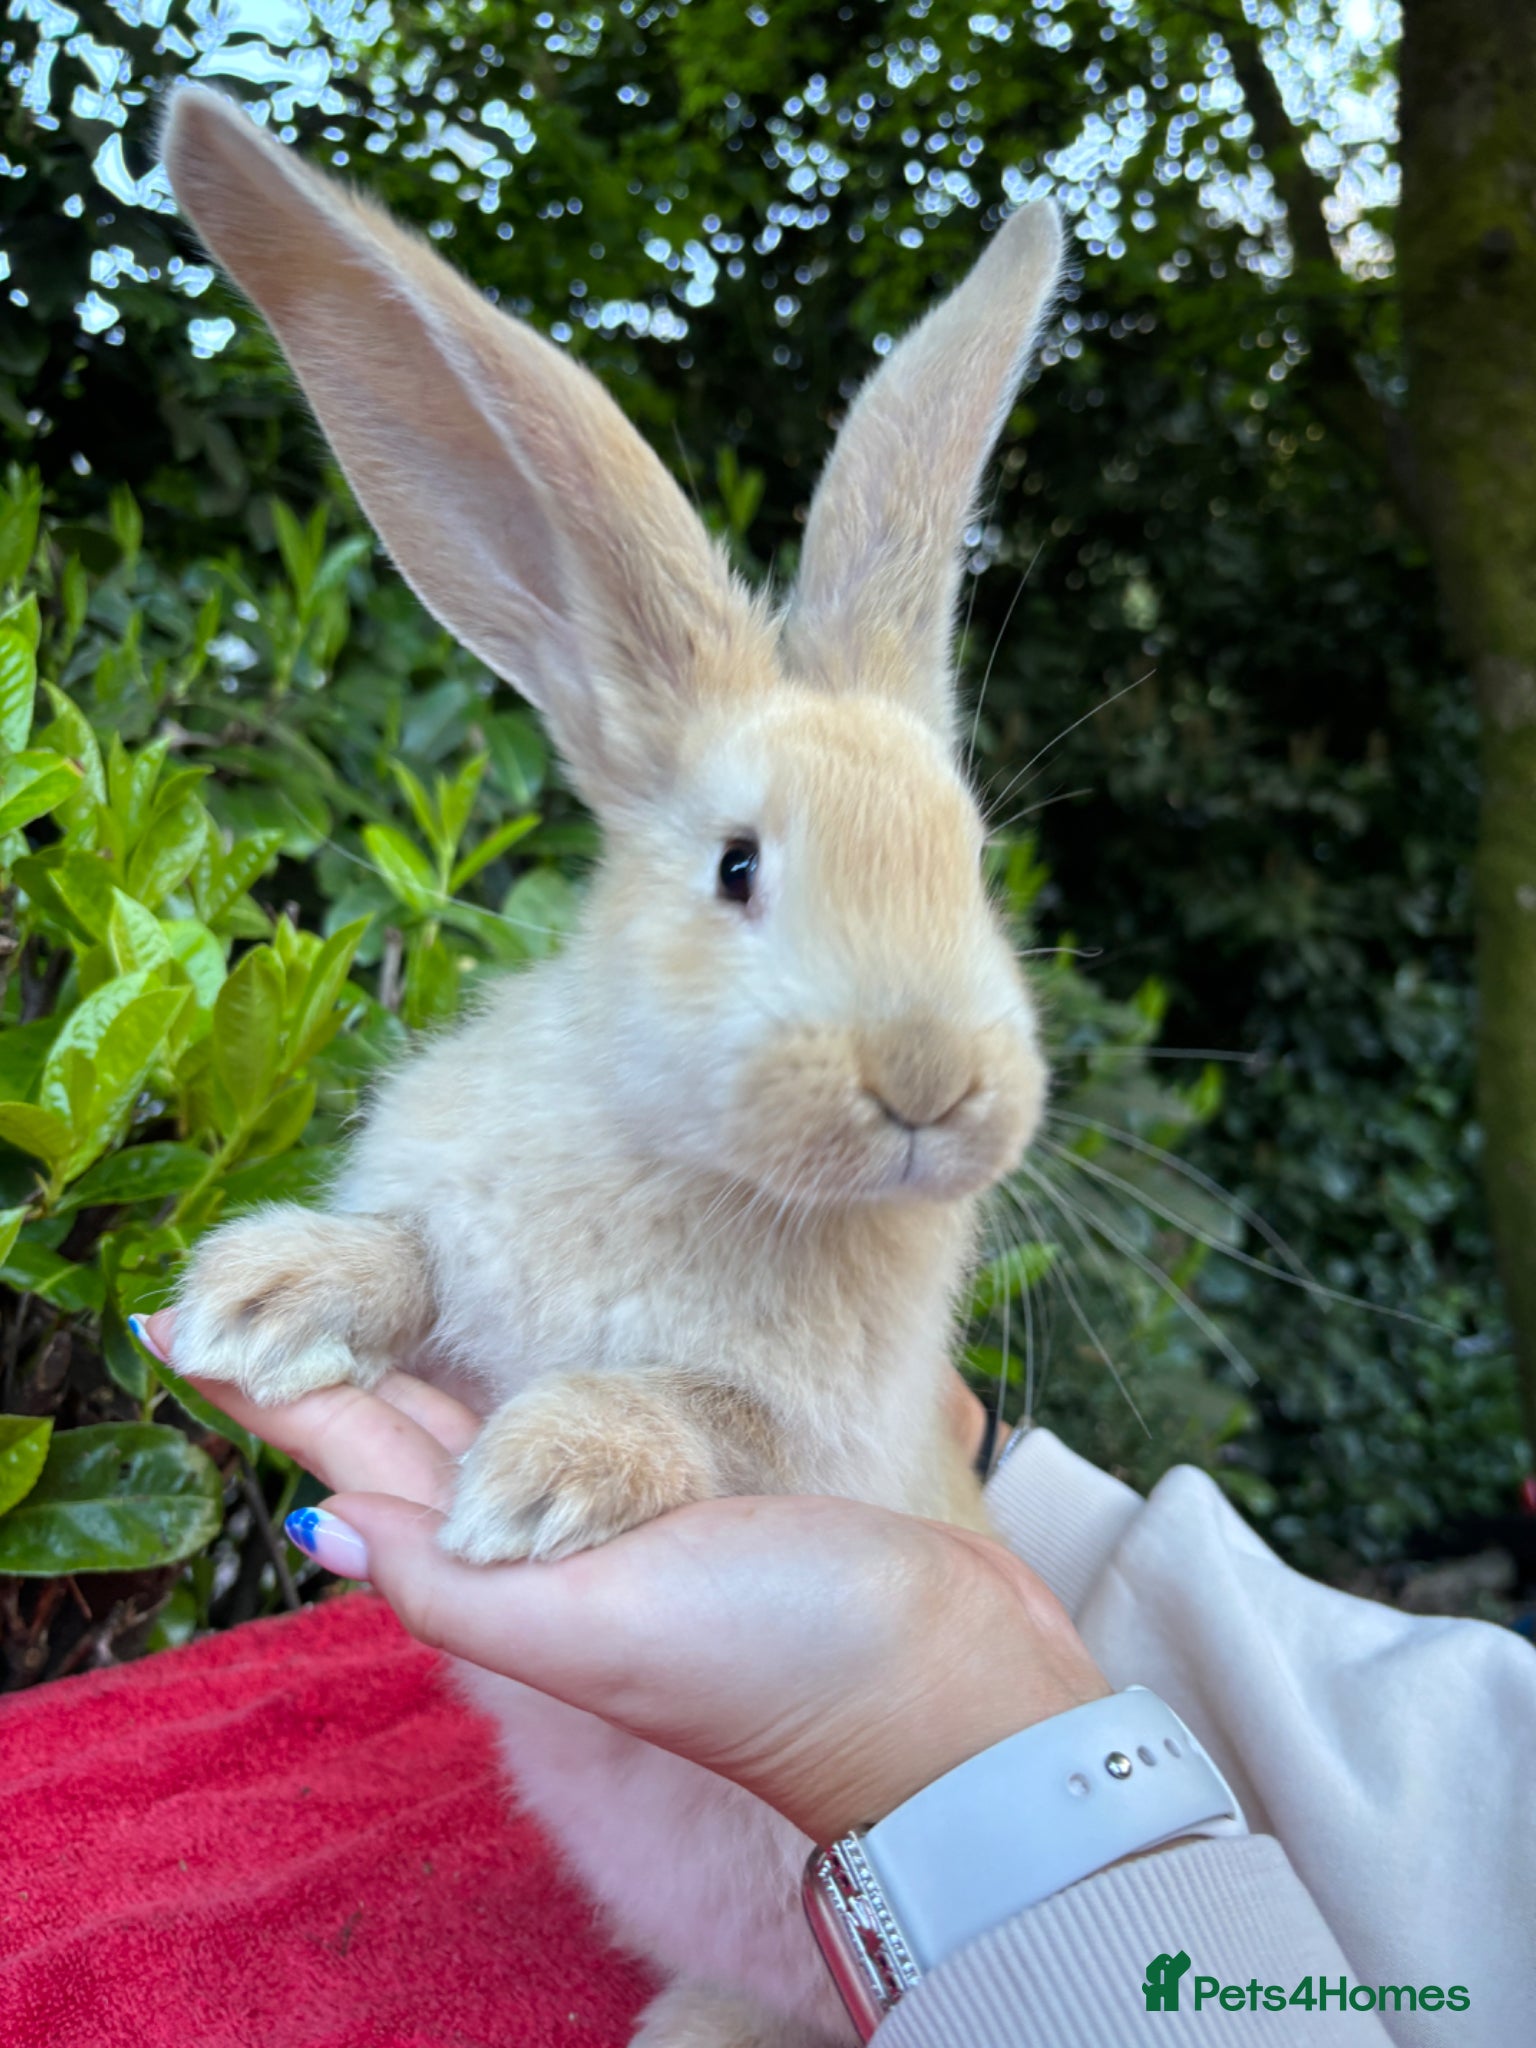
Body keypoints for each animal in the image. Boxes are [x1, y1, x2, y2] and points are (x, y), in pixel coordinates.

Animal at [160, 84, 1063, 2048]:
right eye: (736, 867)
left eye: (972, 866)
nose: (931, 1089)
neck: (690, 1152)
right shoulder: (453, 1232)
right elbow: (409, 1257)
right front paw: (264, 1296)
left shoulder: (802, 1430)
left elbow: (698, 1412)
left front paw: (551, 1471)